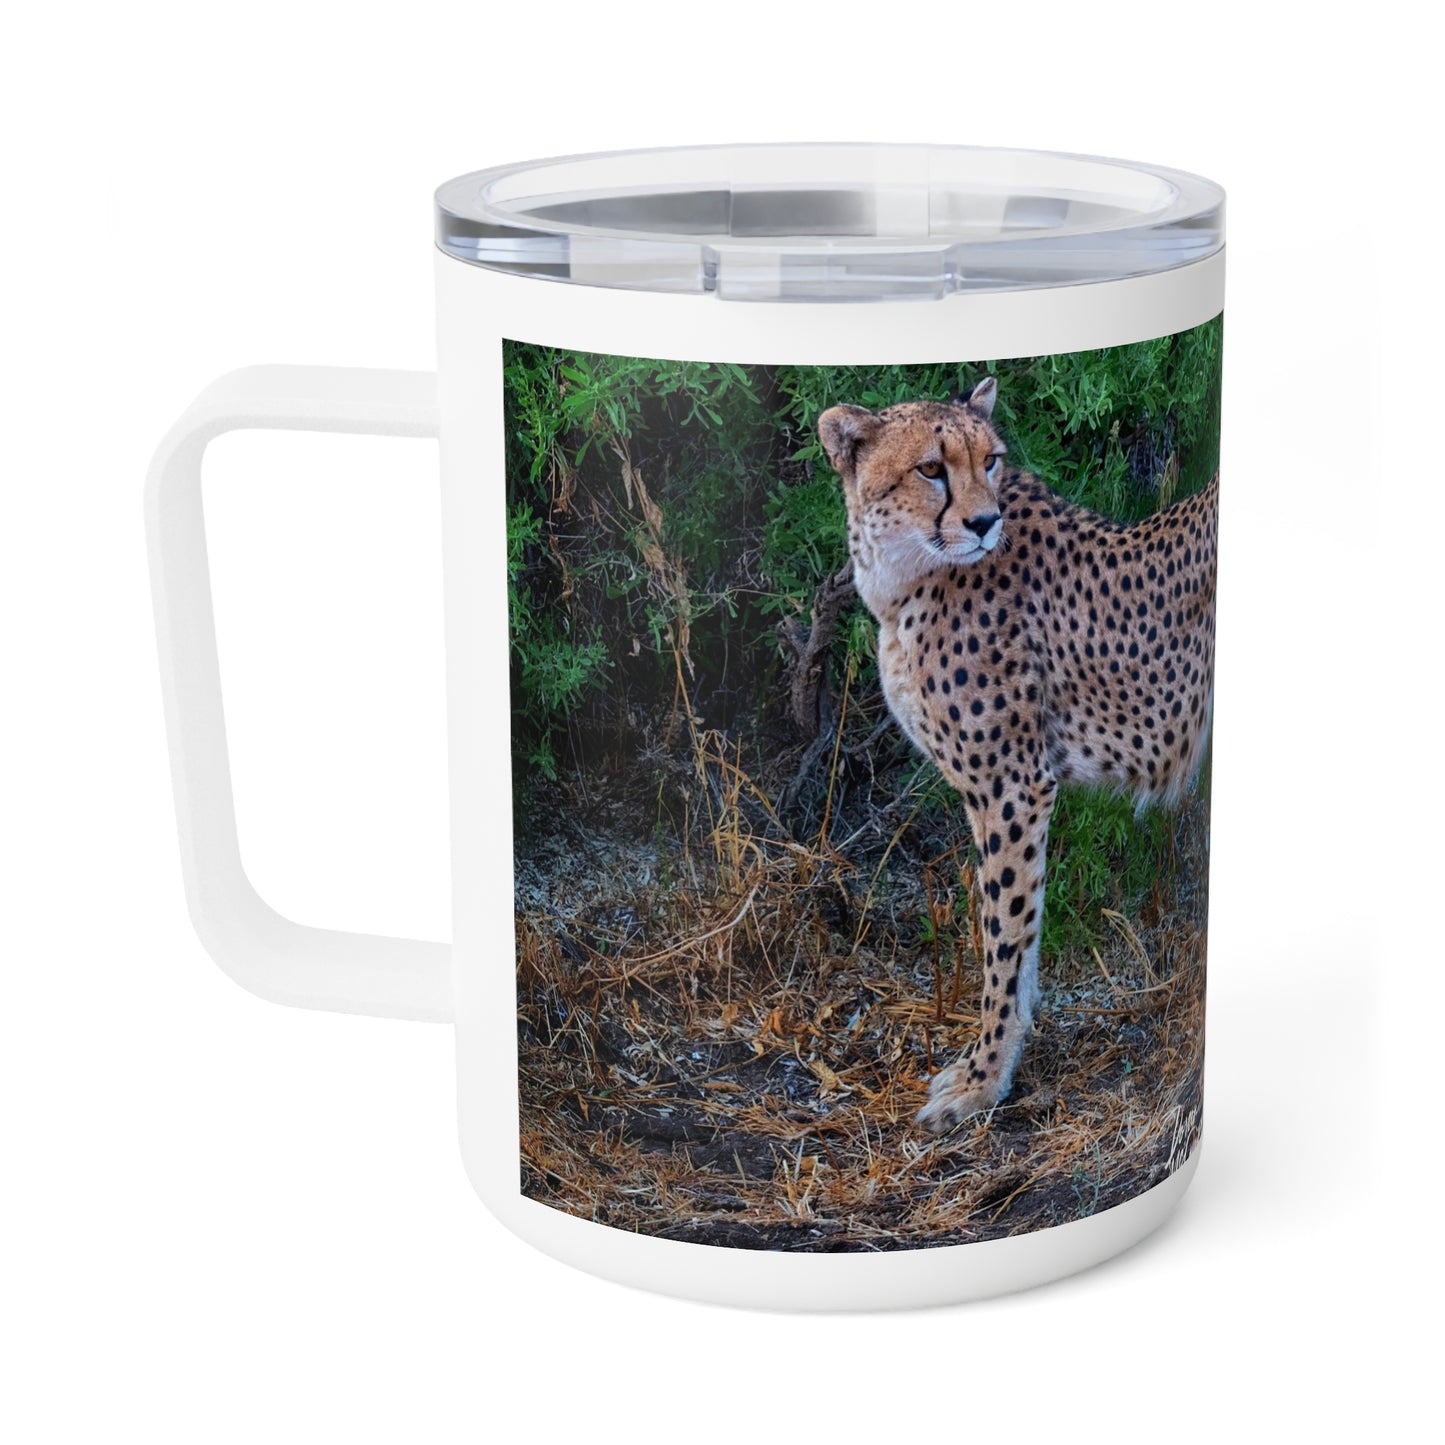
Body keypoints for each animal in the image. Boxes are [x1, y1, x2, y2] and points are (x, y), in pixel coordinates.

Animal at [818, 378, 1217, 1132]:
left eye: (991, 459)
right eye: (930, 468)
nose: (982, 522)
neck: (907, 575)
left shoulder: (1011, 785)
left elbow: (1002, 933)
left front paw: (982, 1080)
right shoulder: (1012, 792)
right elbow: (1020, 931)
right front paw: (1005, 1054)